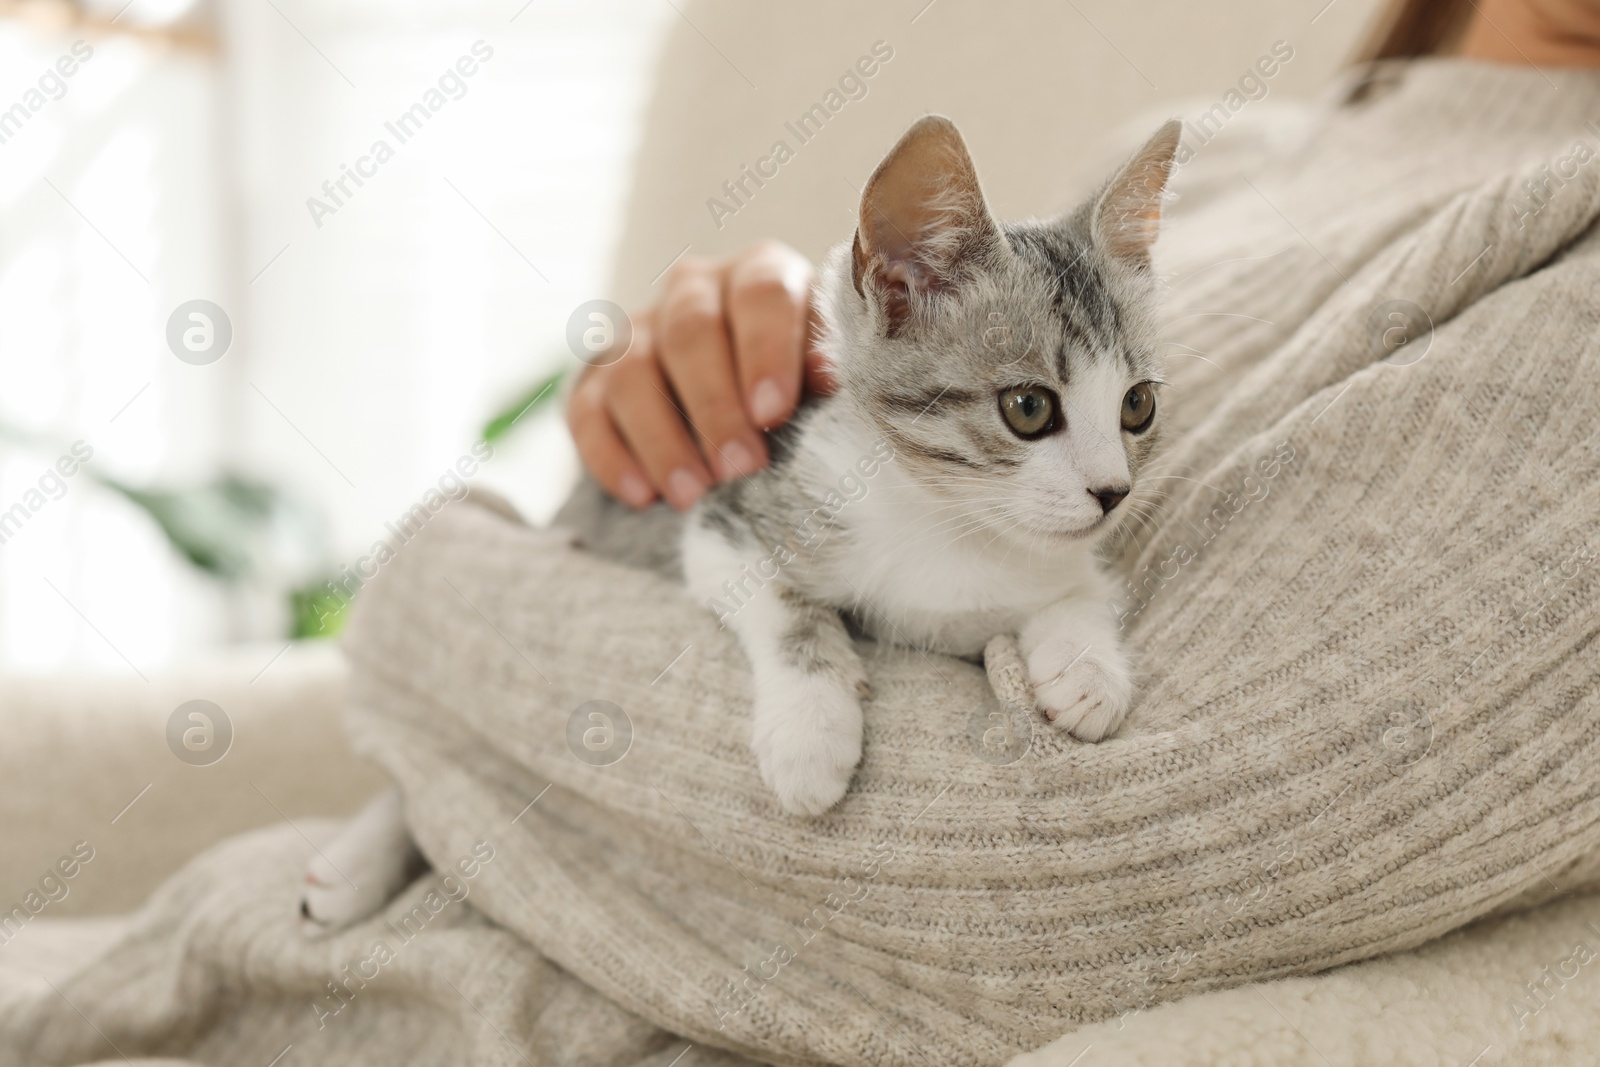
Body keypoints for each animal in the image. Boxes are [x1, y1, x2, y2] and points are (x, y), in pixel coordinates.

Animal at [681, 115, 1184, 819]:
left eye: (1137, 405)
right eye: (1028, 407)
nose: (1114, 492)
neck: (951, 527)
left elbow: (1078, 589)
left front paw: (1086, 669)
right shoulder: (725, 517)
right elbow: (781, 604)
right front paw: (809, 730)